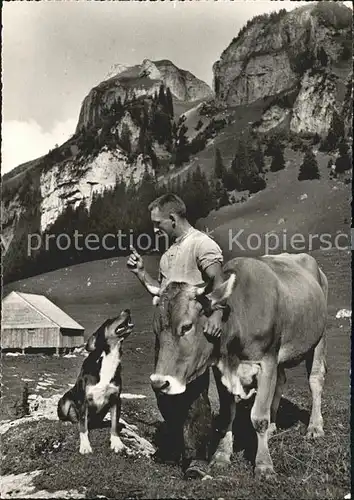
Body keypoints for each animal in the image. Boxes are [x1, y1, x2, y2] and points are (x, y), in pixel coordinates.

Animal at [57, 308, 133, 454]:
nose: (127, 310)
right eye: (110, 320)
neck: (109, 358)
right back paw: (67, 422)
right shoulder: (84, 401)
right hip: (65, 401)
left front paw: (116, 442)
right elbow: (83, 427)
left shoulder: (116, 399)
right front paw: (85, 446)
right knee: (69, 417)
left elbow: (114, 424)